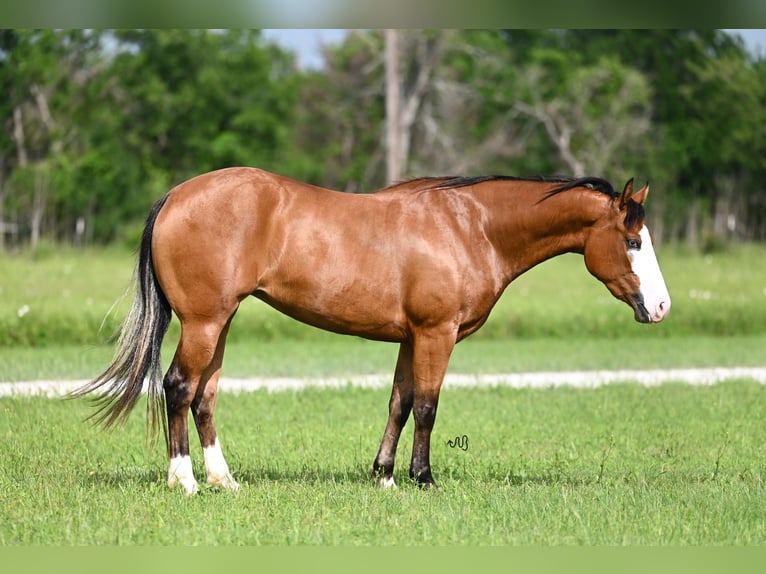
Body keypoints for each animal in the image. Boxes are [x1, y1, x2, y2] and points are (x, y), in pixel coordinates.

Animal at [72, 166, 672, 496]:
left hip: (221, 323)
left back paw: (224, 479)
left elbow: (399, 404)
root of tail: (175, 196)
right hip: (204, 321)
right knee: (178, 387)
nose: (662, 306)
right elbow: (427, 406)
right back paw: (186, 481)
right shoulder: (436, 334)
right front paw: (423, 478)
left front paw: (384, 475)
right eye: (633, 241)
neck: (469, 225)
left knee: (204, 396)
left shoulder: (411, 337)